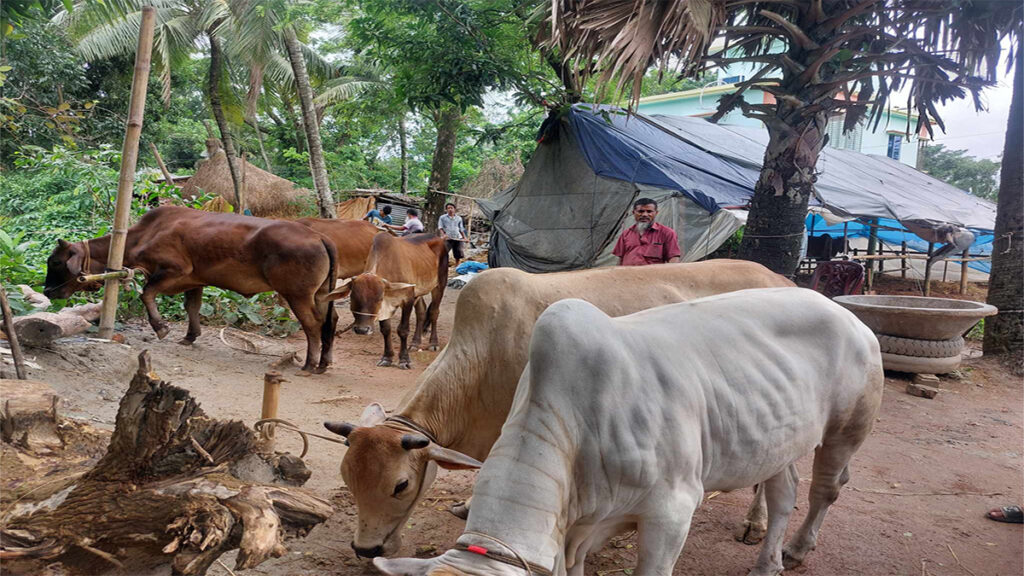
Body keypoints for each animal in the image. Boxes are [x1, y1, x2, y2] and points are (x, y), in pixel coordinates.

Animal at [41, 206, 337, 373]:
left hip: (297, 295)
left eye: (55, 262)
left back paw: (310, 364)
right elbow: (191, 307)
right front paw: (190, 336)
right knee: (330, 321)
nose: (47, 291)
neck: (142, 235)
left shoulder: (174, 271)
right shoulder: (196, 281)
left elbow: (147, 293)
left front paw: (161, 327)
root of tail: (319, 236)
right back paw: (323, 363)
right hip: (320, 294)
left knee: (312, 324)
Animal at [321, 258, 790, 553]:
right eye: (348, 478)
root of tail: (783, 280)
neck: (482, 359)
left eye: (400, 485)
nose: (366, 549)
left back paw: (756, 524)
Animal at [329, 231, 446, 366]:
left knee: (434, 312)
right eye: (353, 297)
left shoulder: (408, 299)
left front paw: (404, 360)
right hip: (419, 291)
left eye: (379, 299)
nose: (362, 330)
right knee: (421, 312)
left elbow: (403, 330)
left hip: (439, 285)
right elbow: (386, 329)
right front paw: (387, 358)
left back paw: (433, 343)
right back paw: (415, 343)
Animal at [372, 289, 884, 573]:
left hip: (848, 428)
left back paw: (797, 549)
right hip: (777, 441)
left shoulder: (673, 510)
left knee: (823, 491)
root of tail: (845, 313)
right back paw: (767, 563)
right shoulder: (580, 527)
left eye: (401, 485)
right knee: (783, 494)